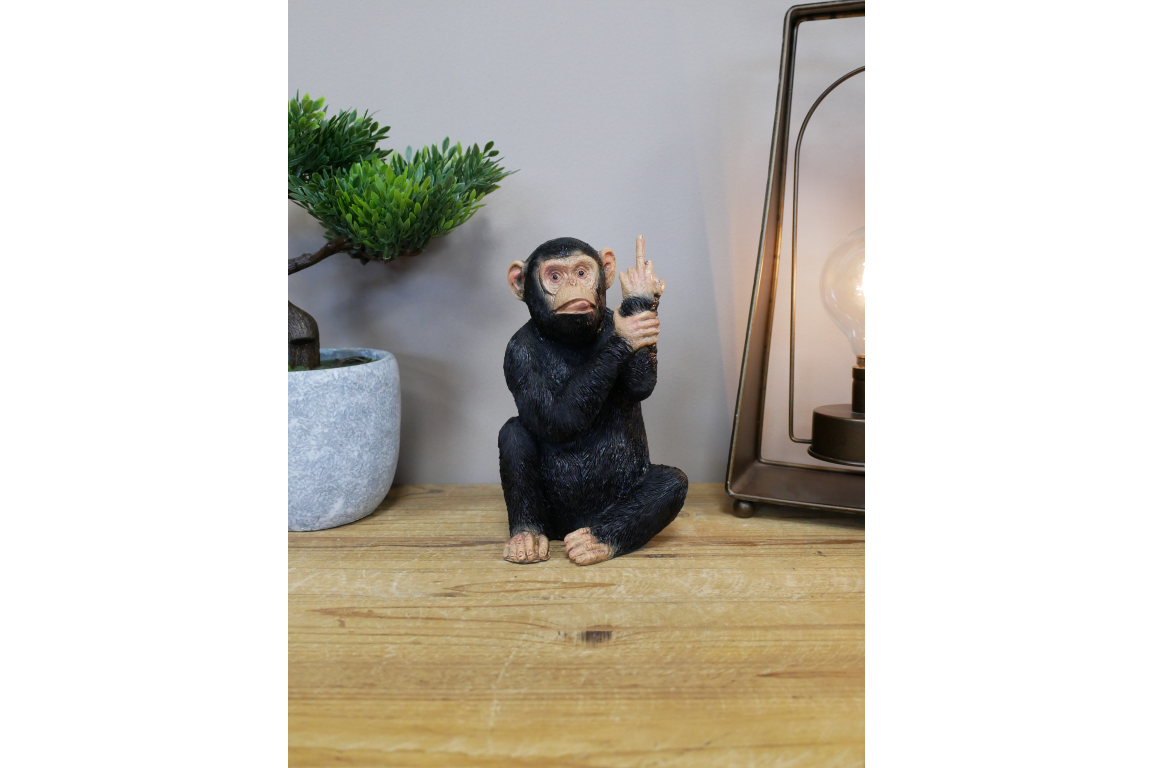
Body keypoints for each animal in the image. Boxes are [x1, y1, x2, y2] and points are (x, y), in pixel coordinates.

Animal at [498, 235, 688, 565]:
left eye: (582, 272)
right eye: (555, 276)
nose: (573, 284)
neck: (571, 340)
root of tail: (572, 525)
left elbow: (640, 386)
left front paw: (640, 298)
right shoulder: (516, 352)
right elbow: (556, 418)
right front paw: (633, 324)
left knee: (672, 481)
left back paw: (594, 540)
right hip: (553, 519)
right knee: (513, 432)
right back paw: (527, 536)